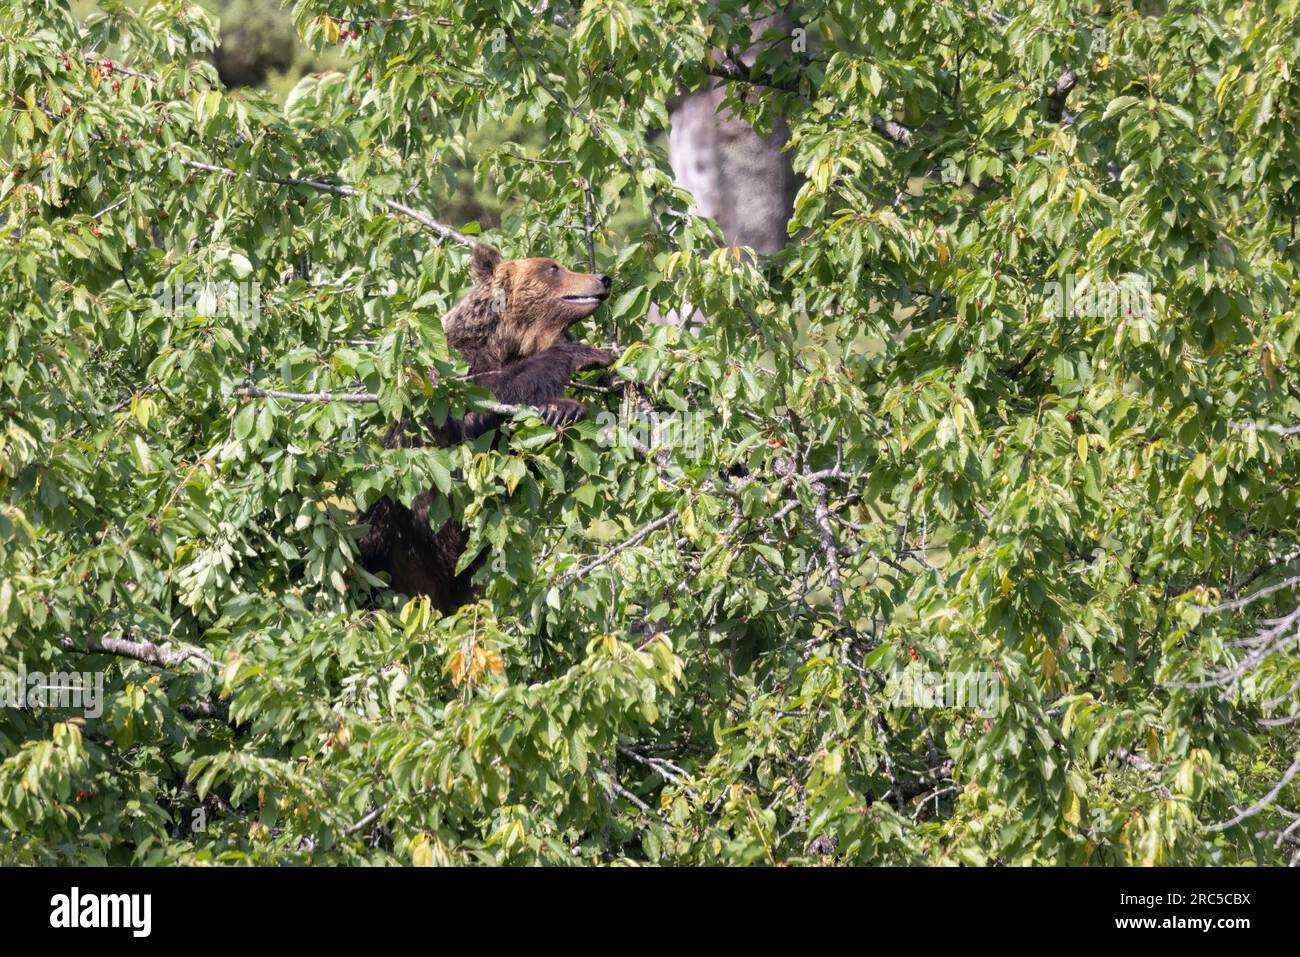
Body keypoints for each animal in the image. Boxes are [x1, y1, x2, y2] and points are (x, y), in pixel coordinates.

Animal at [358, 243, 616, 608]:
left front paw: (559, 410)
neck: (503, 341)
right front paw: (585, 357)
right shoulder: (450, 374)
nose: (602, 278)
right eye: (552, 268)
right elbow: (475, 412)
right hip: (391, 540)